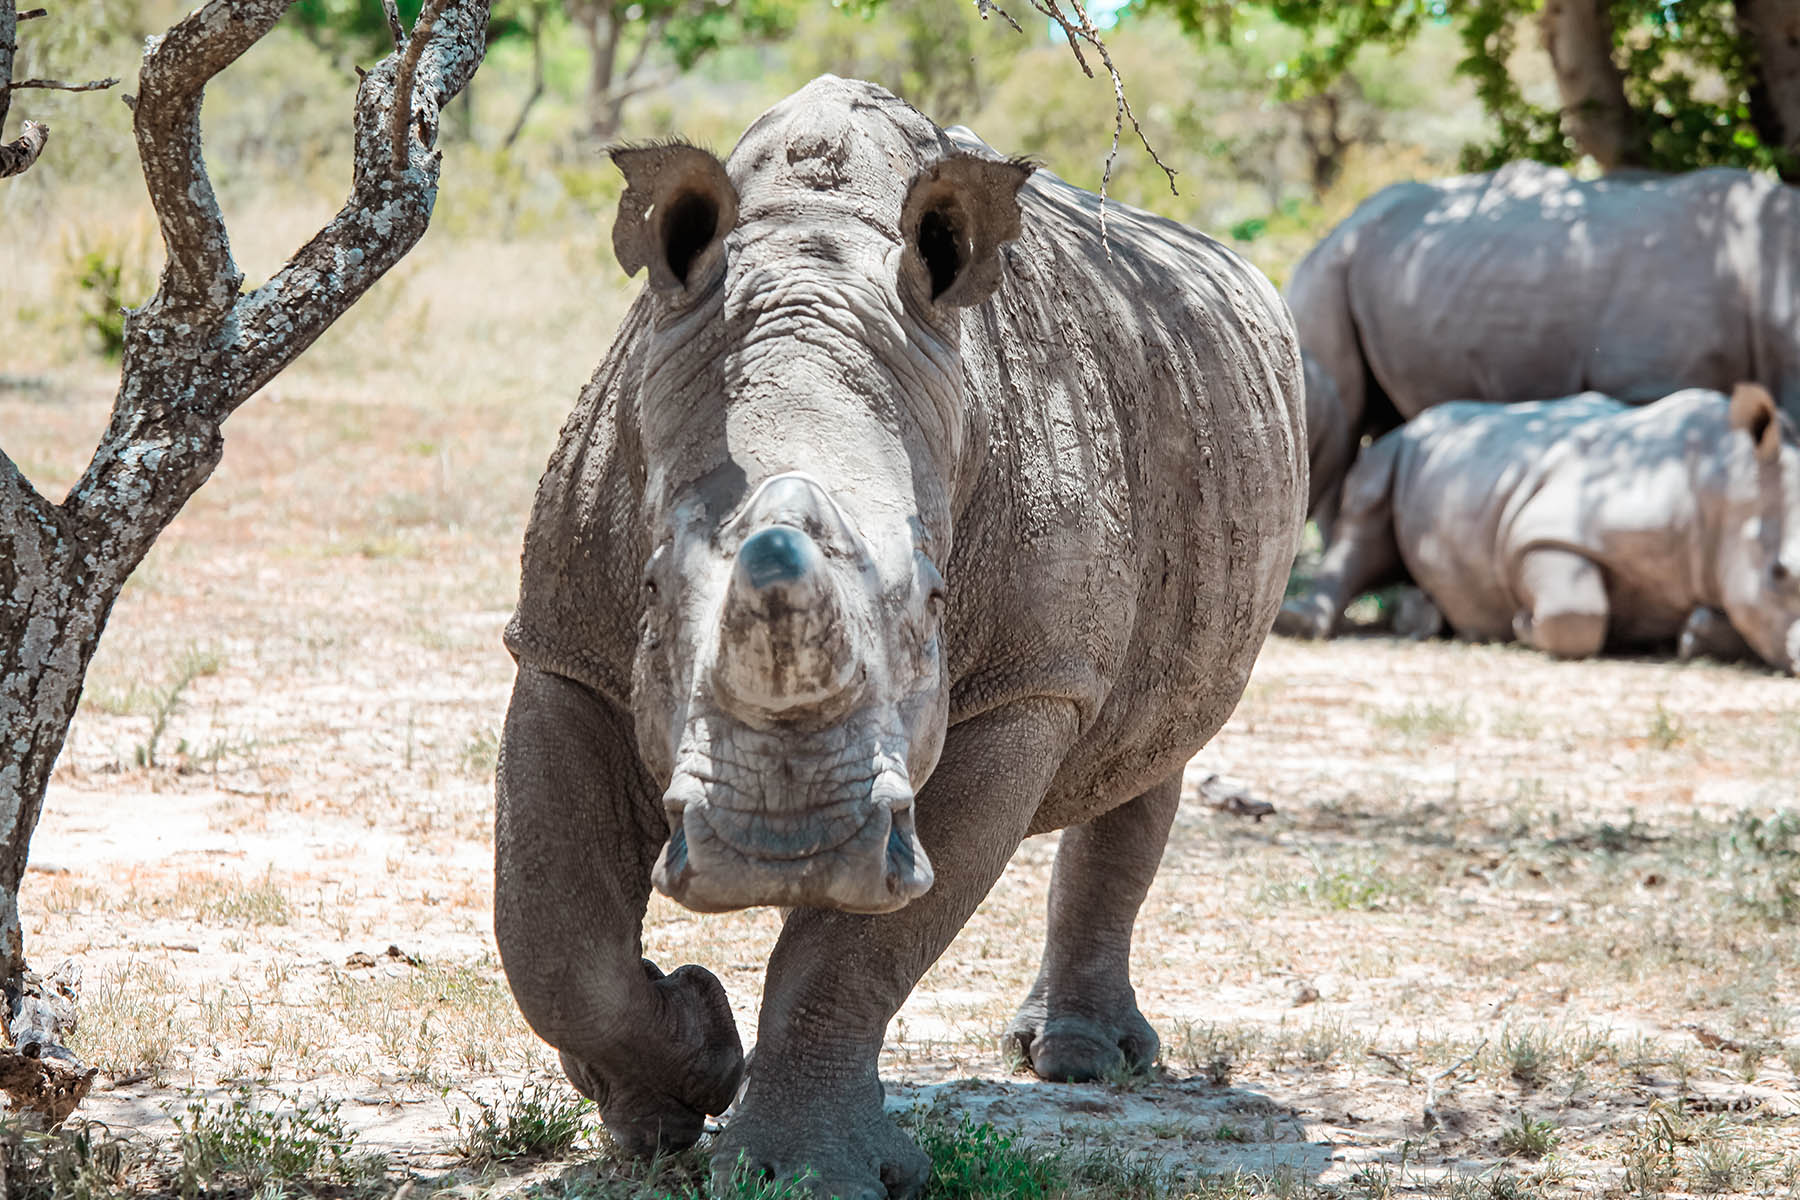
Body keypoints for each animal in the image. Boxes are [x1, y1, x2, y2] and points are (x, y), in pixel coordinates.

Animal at [493, 77, 1310, 1200]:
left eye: (932, 601)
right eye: (653, 590)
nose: (783, 848)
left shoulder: (1026, 684)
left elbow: (858, 950)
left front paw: (799, 1171)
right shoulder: (563, 640)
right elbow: (550, 927)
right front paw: (678, 1075)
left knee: (1158, 742)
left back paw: (1082, 1065)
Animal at [1281, 386, 1800, 676]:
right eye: (1778, 573)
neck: (1725, 488)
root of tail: (1426, 414)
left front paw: (1698, 634)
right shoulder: (1542, 530)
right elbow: (1576, 614)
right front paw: (1523, 626)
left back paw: (1423, 618)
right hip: (1406, 440)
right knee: (1365, 510)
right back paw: (1301, 622)